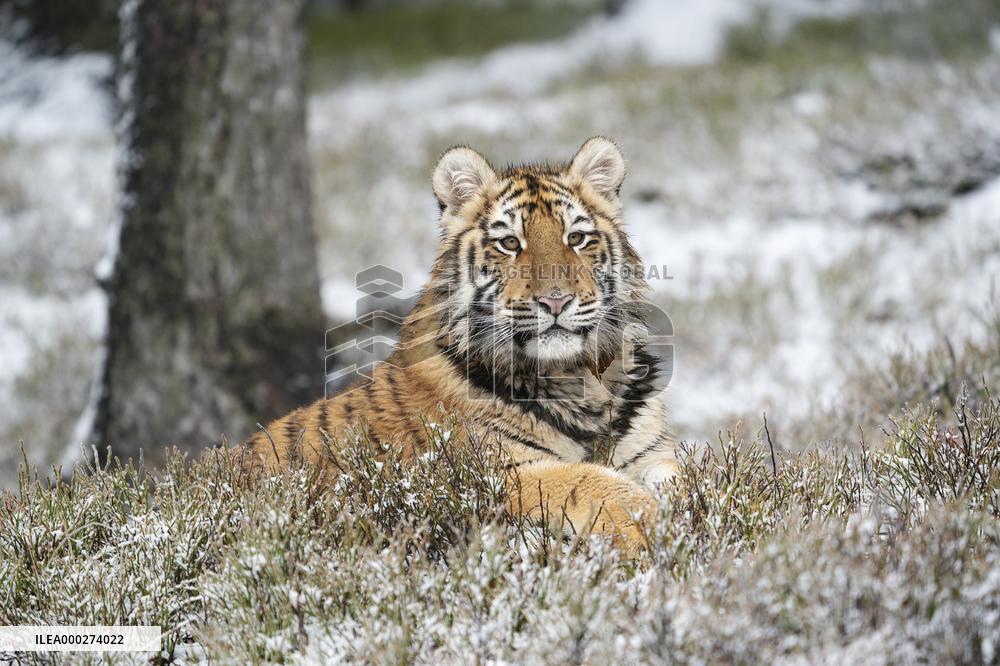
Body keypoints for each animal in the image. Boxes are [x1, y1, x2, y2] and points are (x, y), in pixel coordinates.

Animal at [241, 137, 678, 554]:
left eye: (576, 238)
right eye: (509, 243)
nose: (555, 301)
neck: (574, 378)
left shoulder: (652, 452)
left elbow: (682, 482)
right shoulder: (501, 471)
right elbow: (600, 485)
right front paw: (658, 529)